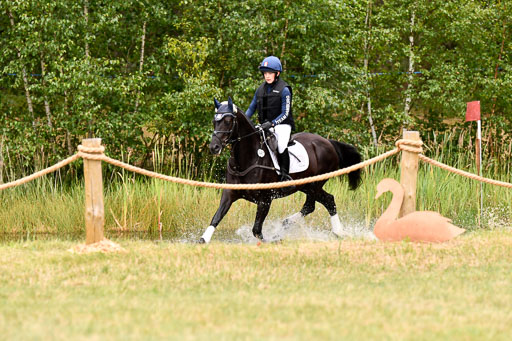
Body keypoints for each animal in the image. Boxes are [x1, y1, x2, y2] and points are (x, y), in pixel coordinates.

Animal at [198, 97, 362, 243]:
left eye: (227, 121)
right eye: (214, 121)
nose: (214, 147)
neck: (248, 158)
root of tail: (328, 142)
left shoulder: (265, 200)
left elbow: (256, 230)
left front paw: (271, 240)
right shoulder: (229, 193)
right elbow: (216, 217)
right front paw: (203, 239)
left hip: (314, 185)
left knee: (327, 200)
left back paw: (338, 232)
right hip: (306, 186)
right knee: (312, 205)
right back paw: (286, 224)